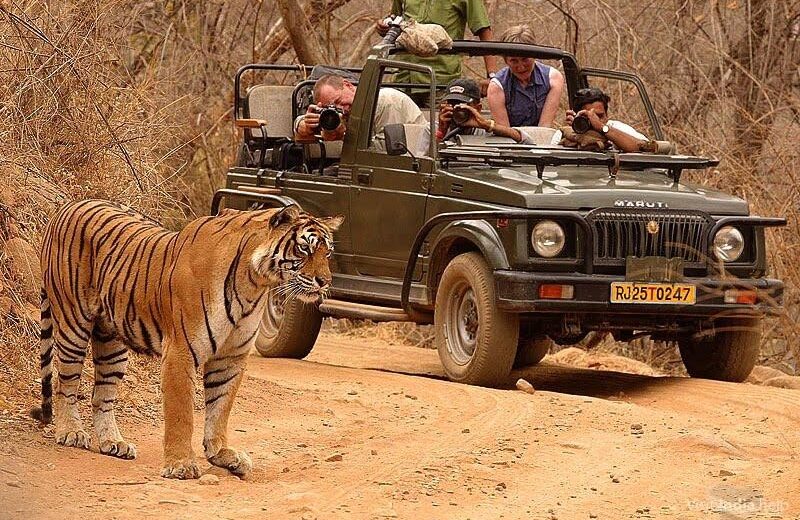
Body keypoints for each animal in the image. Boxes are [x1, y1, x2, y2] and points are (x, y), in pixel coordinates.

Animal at [30, 199, 342, 479]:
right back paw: (71, 432)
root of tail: (65, 207)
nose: (325, 282)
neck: (254, 283)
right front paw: (180, 465)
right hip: (73, 324)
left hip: (112, 342)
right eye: (304, 248)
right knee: (65, 383)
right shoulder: (181, 351)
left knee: (102, 394)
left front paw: (222, 454)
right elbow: (182, 413)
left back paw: (113, 443)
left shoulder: (230, 357)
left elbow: (220, 408)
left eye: (327, 252)